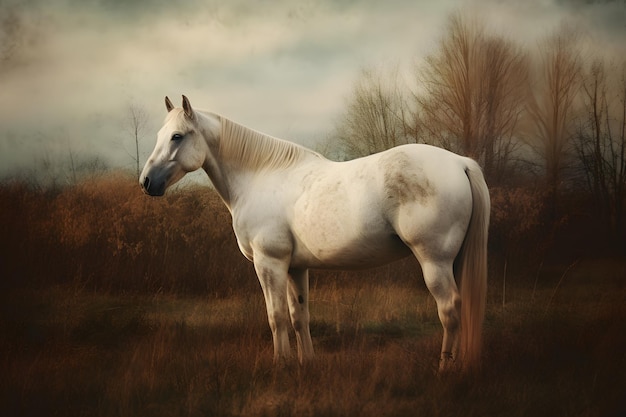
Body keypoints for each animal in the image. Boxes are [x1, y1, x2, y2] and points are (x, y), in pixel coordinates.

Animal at [140, 96, 488, 368]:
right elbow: (299, 315)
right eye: (160, 134)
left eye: (177, 136)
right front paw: (305, 363)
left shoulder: (269, 263)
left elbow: (276, 316)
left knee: (449, 309)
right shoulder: (295, 267)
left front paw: (280, 364)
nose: (146, 182)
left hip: (434, 261)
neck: (260, 177)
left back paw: (445, 368)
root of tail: (461, 163)